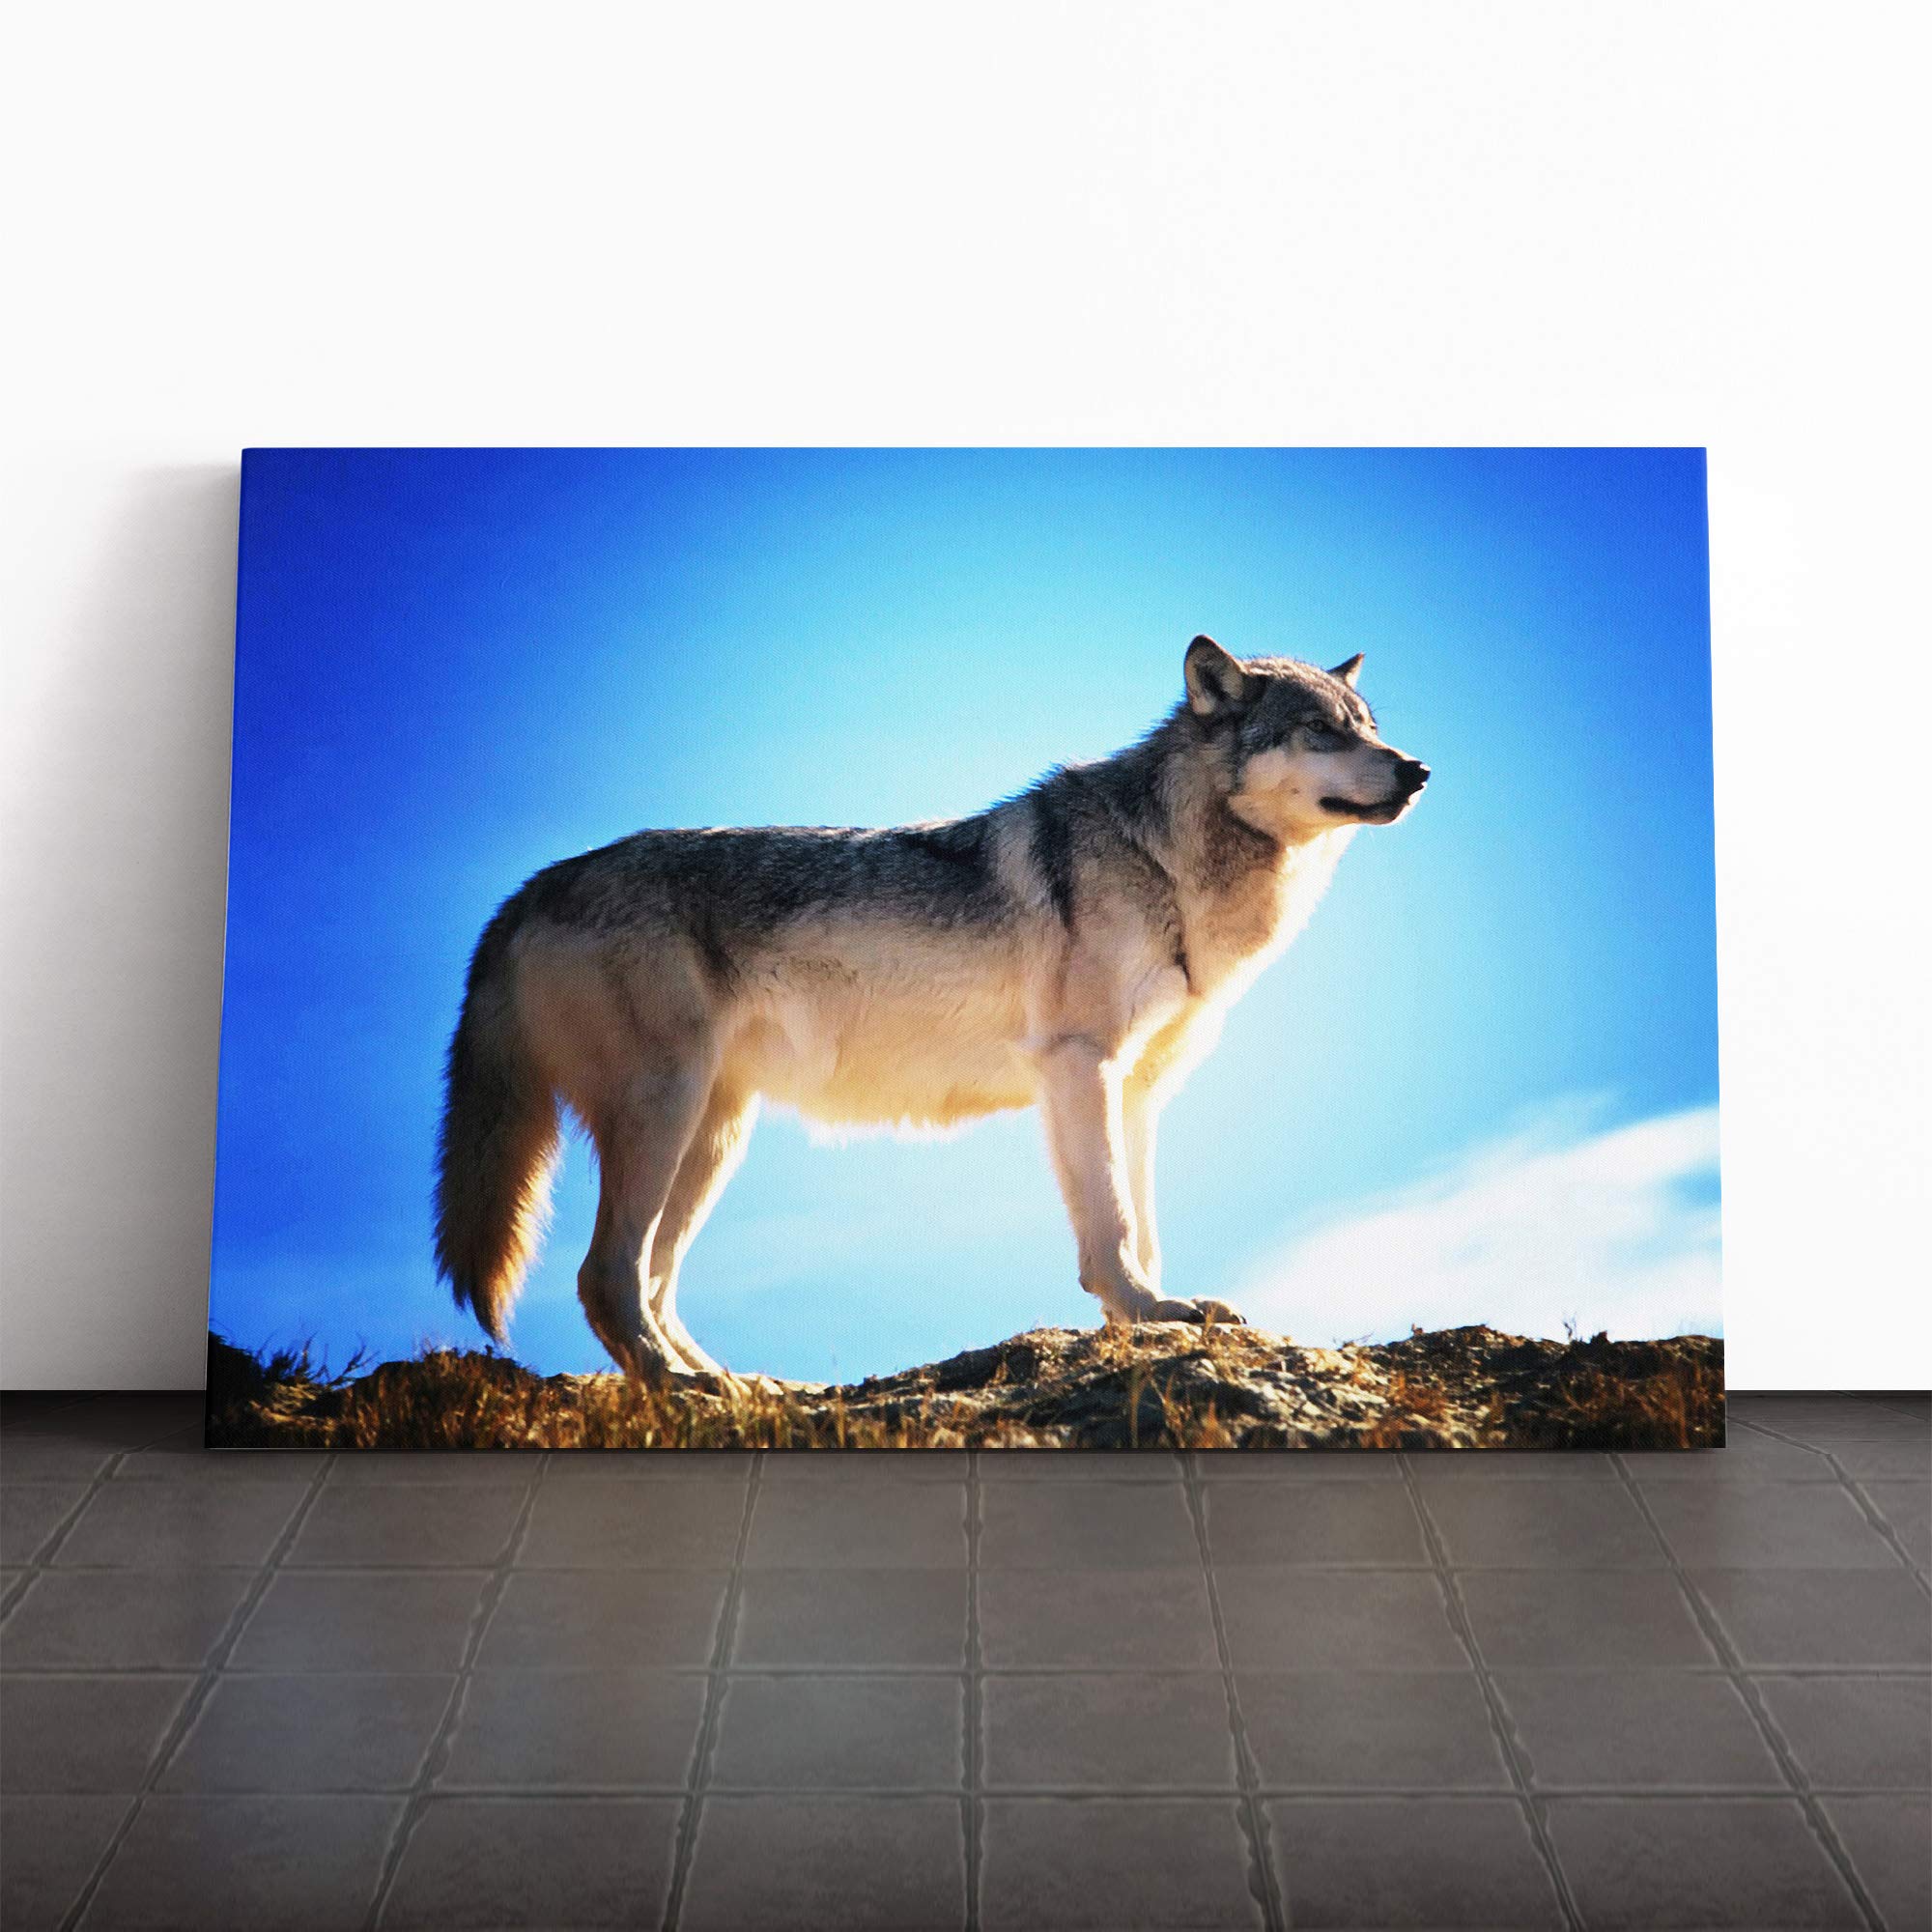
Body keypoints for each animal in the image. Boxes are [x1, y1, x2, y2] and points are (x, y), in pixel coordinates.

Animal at [434, 636, 1428, 1380]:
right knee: (606, 1276)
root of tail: (529, 889)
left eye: (1370, 728)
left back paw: (741, 1387)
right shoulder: (1079, 1066)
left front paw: (1156, 1313)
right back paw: (685, 1393)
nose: (1418, 770)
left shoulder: (1138, 1092)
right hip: (665, 1115)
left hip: (713, 1139)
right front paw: (1145, 1313)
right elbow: (1109, 1226)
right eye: (1319, 731)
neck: (1164, 859)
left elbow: (1143, 1223)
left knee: (652, 1282)